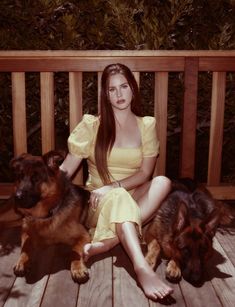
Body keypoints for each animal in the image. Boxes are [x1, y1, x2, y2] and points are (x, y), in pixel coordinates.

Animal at [9, 151, 90, 284]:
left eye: (36, 178)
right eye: (20, 177)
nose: (17, 197)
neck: (47, 215)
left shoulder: (83, 235)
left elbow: (74, 251)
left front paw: (78, 269)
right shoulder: (26, 232)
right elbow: (25, 246)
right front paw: (21, 262)